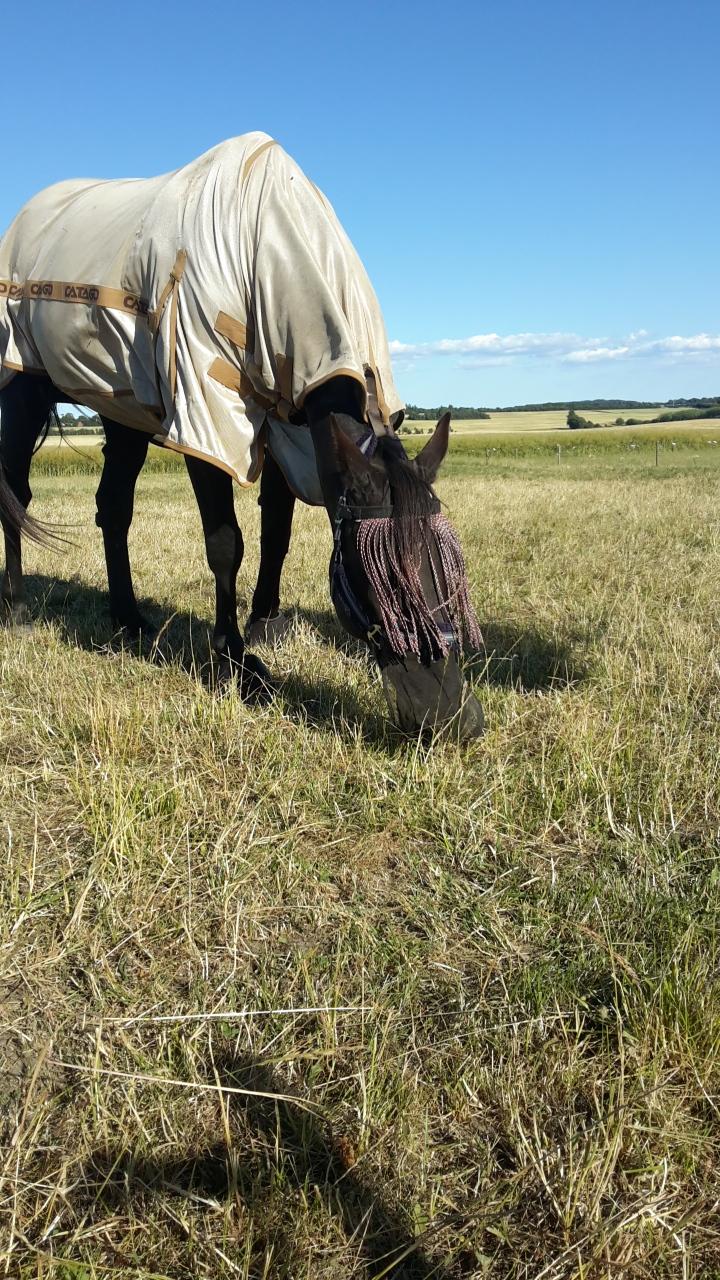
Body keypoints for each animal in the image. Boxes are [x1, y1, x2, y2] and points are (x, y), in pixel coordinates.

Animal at [1, 132, 481, 742]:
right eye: (384, 581)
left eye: (451, 570)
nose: (457, 721)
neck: (269, 248)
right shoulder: (206, 418)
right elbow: (226, 542)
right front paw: (234, 660)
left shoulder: (289, 425)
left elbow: (276, 531)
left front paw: (263, 626)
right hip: (24, 384)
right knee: (18, 492)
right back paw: (17, 609)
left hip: (122, 405)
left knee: (113, 508)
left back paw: (129, 620)